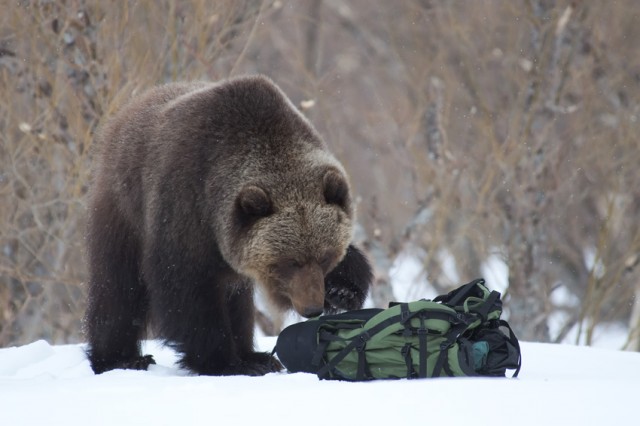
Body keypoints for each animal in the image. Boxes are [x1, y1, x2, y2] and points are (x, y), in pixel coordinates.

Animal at [85, 75, 376, 374]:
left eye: (325, 257)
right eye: (289, 262)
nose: (312, 308)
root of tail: (125, 112)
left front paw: (342, 291)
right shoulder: (186, 208)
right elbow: (187, 291)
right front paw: (224, 362)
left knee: (238, 301)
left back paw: (255, 354)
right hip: (124, 209)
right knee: (119, 287)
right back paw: (120, 358)